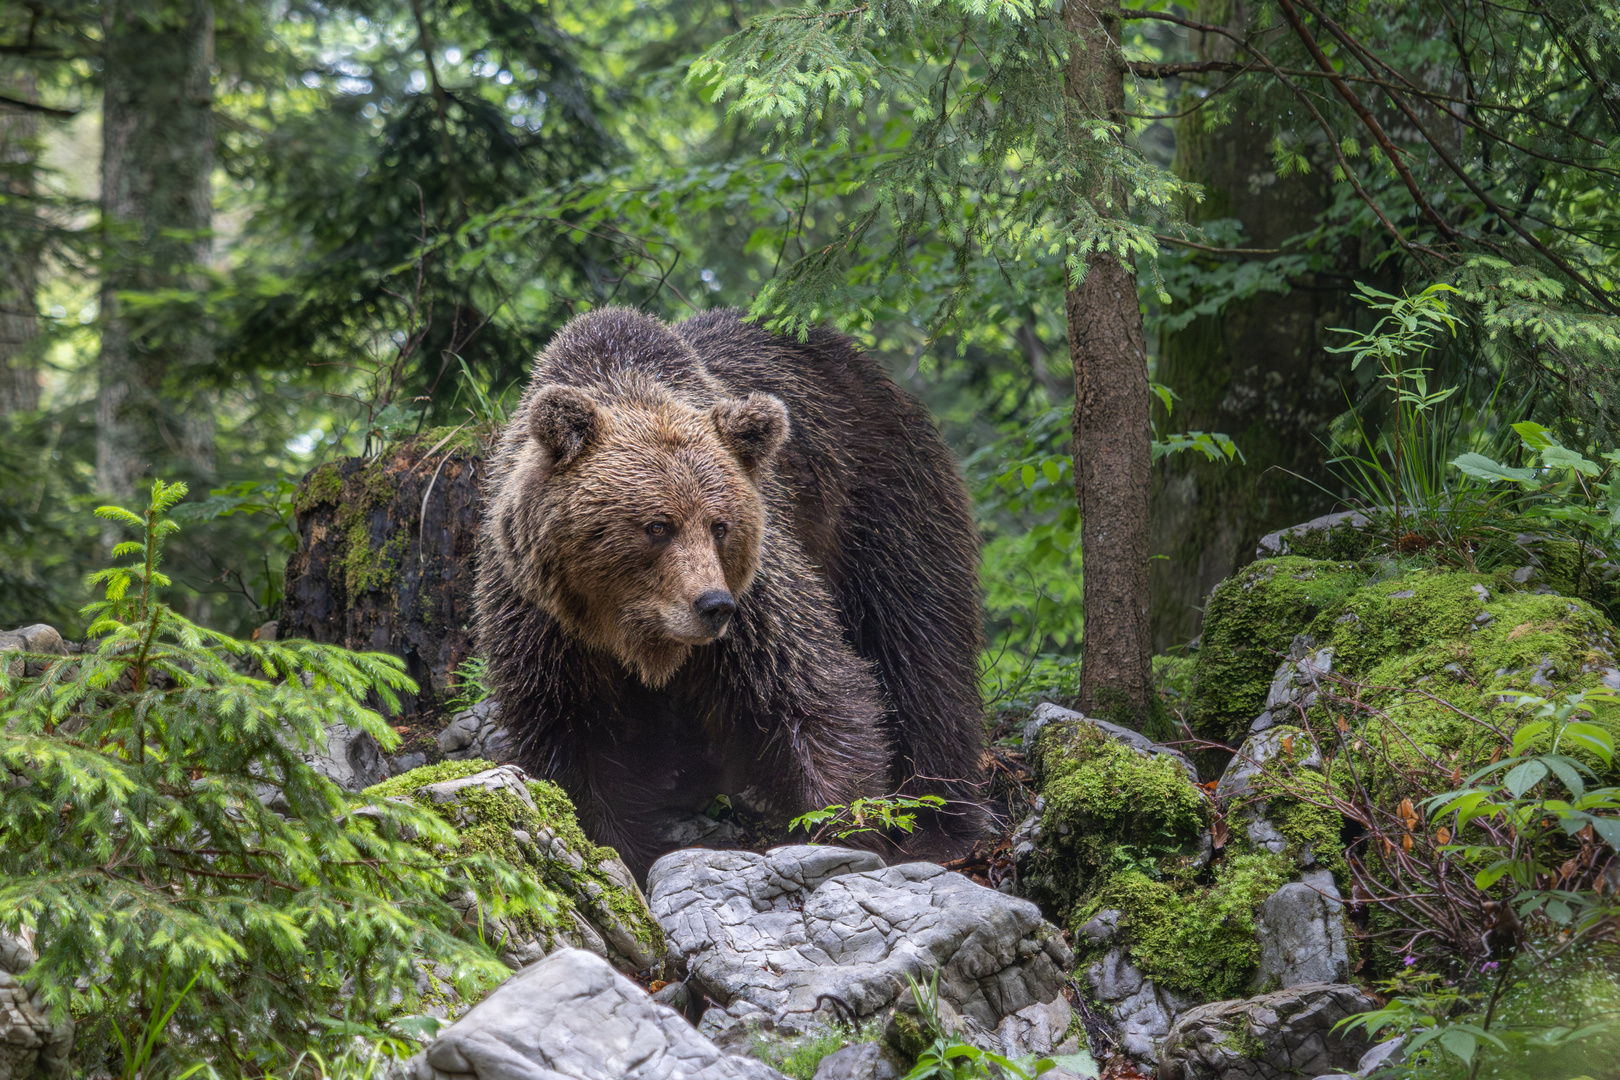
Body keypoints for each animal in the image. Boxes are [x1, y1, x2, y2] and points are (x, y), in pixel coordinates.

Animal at [473, 306, 978, 880]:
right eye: (657, 526)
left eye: (720, 526)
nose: (712, 606)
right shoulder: (544, 622)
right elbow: (575, 738)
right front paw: (620, 851)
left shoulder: (758, 593)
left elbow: (814, 689)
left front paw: (839, 830)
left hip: (882, 501)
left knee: (920, 646)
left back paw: (943, 824)